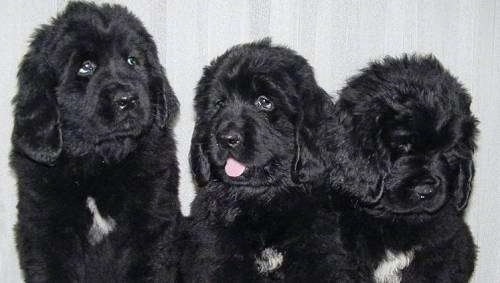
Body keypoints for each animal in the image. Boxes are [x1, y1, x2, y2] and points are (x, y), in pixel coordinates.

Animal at [11, 2, 182, 283]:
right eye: (86, 67)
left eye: (133, 61)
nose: (127, 99)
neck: (99, 161)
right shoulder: (46, 228)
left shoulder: (152, 224)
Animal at [182, 39, 362, 282]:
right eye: (219, 104)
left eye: (264, 102)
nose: (226, 138)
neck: (261, 199)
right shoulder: (215, 257)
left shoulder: (318, 254)